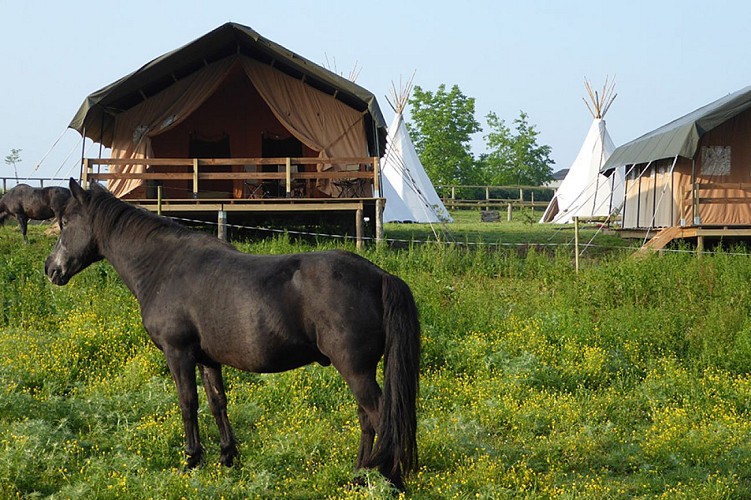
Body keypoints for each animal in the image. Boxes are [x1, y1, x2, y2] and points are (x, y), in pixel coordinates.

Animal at [45, 179, 424, 488]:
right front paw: (227, 456)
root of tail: (379, 276)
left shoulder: (178, 353)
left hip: (355, 369)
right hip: (360, 370)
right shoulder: (207, 358)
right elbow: (217, 403)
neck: (164, 266)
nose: (51, 269)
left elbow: (187, 402)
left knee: (380, 415)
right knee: (366, 419)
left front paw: (192, 459)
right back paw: (360, 474)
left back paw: (389, 477)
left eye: (65, 222)